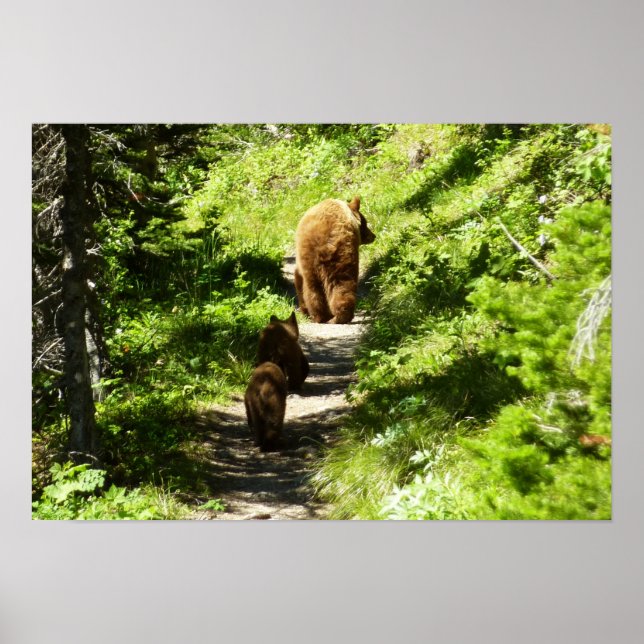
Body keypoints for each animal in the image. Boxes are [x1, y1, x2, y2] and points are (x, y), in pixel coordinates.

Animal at [294, 196, 375, 324]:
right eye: (365, 223)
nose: (373, 236)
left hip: (316, 258)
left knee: (316, 288)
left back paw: (324, 316)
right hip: (339, 254)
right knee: (340, 283)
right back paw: (335, 316)